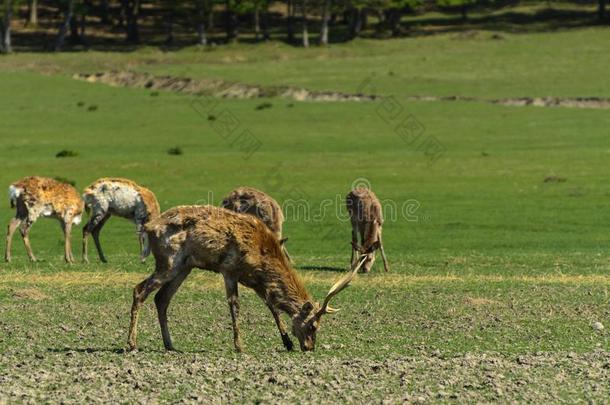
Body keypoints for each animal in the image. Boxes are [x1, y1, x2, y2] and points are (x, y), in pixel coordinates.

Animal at [126, 205, 364, 350]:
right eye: (313, 326)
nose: (309, 347)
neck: (262, 257)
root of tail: (148, 228)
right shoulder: (230, 270)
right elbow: (235, 305)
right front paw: (240, 345)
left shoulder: (256, 281)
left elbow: (272, 307)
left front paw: (286, 342)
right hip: (168, 261)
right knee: (139, 290)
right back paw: (132, 343)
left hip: (184, 267)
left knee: (161, 299)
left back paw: (170, 344)